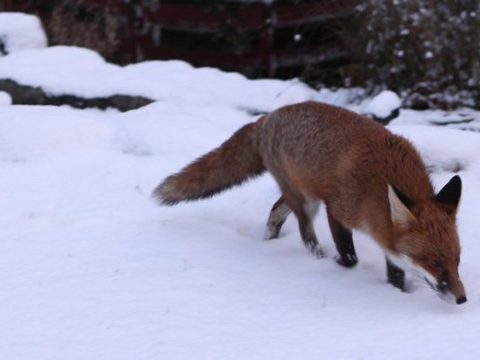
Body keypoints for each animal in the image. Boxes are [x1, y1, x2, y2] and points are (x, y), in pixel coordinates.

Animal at [153, 100, 464, 304]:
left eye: (456, 259)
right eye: (434, 262)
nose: (462, 299)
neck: (381, 179)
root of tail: (266, 119)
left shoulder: (385, 236)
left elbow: (396, 271)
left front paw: (398, 293)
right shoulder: (337, 209)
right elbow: (350, 256)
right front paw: (340, 266)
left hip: (301, 195)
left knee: (275, 212)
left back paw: (269, 242)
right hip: (306, 203)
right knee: (305, 234)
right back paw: (317, 259)